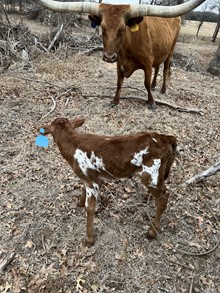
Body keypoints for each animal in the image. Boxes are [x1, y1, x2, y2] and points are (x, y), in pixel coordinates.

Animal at [34, 0, 206, 107]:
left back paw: (162, 89)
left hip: (170, 50)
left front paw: (151, 102)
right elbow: (119, 82)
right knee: (158, 68)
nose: (108, 57)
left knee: (165, 69)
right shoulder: (119, 61)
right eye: (102, 27)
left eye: (123, 29)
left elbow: (145, 83)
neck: (129, 46)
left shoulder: (147, 62)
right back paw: (155, 85)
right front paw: (115, 101)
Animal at [40, 116, 177, 244]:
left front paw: (89, 239)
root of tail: (166, 138)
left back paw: (152, 232)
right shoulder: (89, 177)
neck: (73, 145)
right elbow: (83, 189)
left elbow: (90, 208)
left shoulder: (93, 181)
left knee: (164, 197)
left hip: (150, 174)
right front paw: (79, 202)